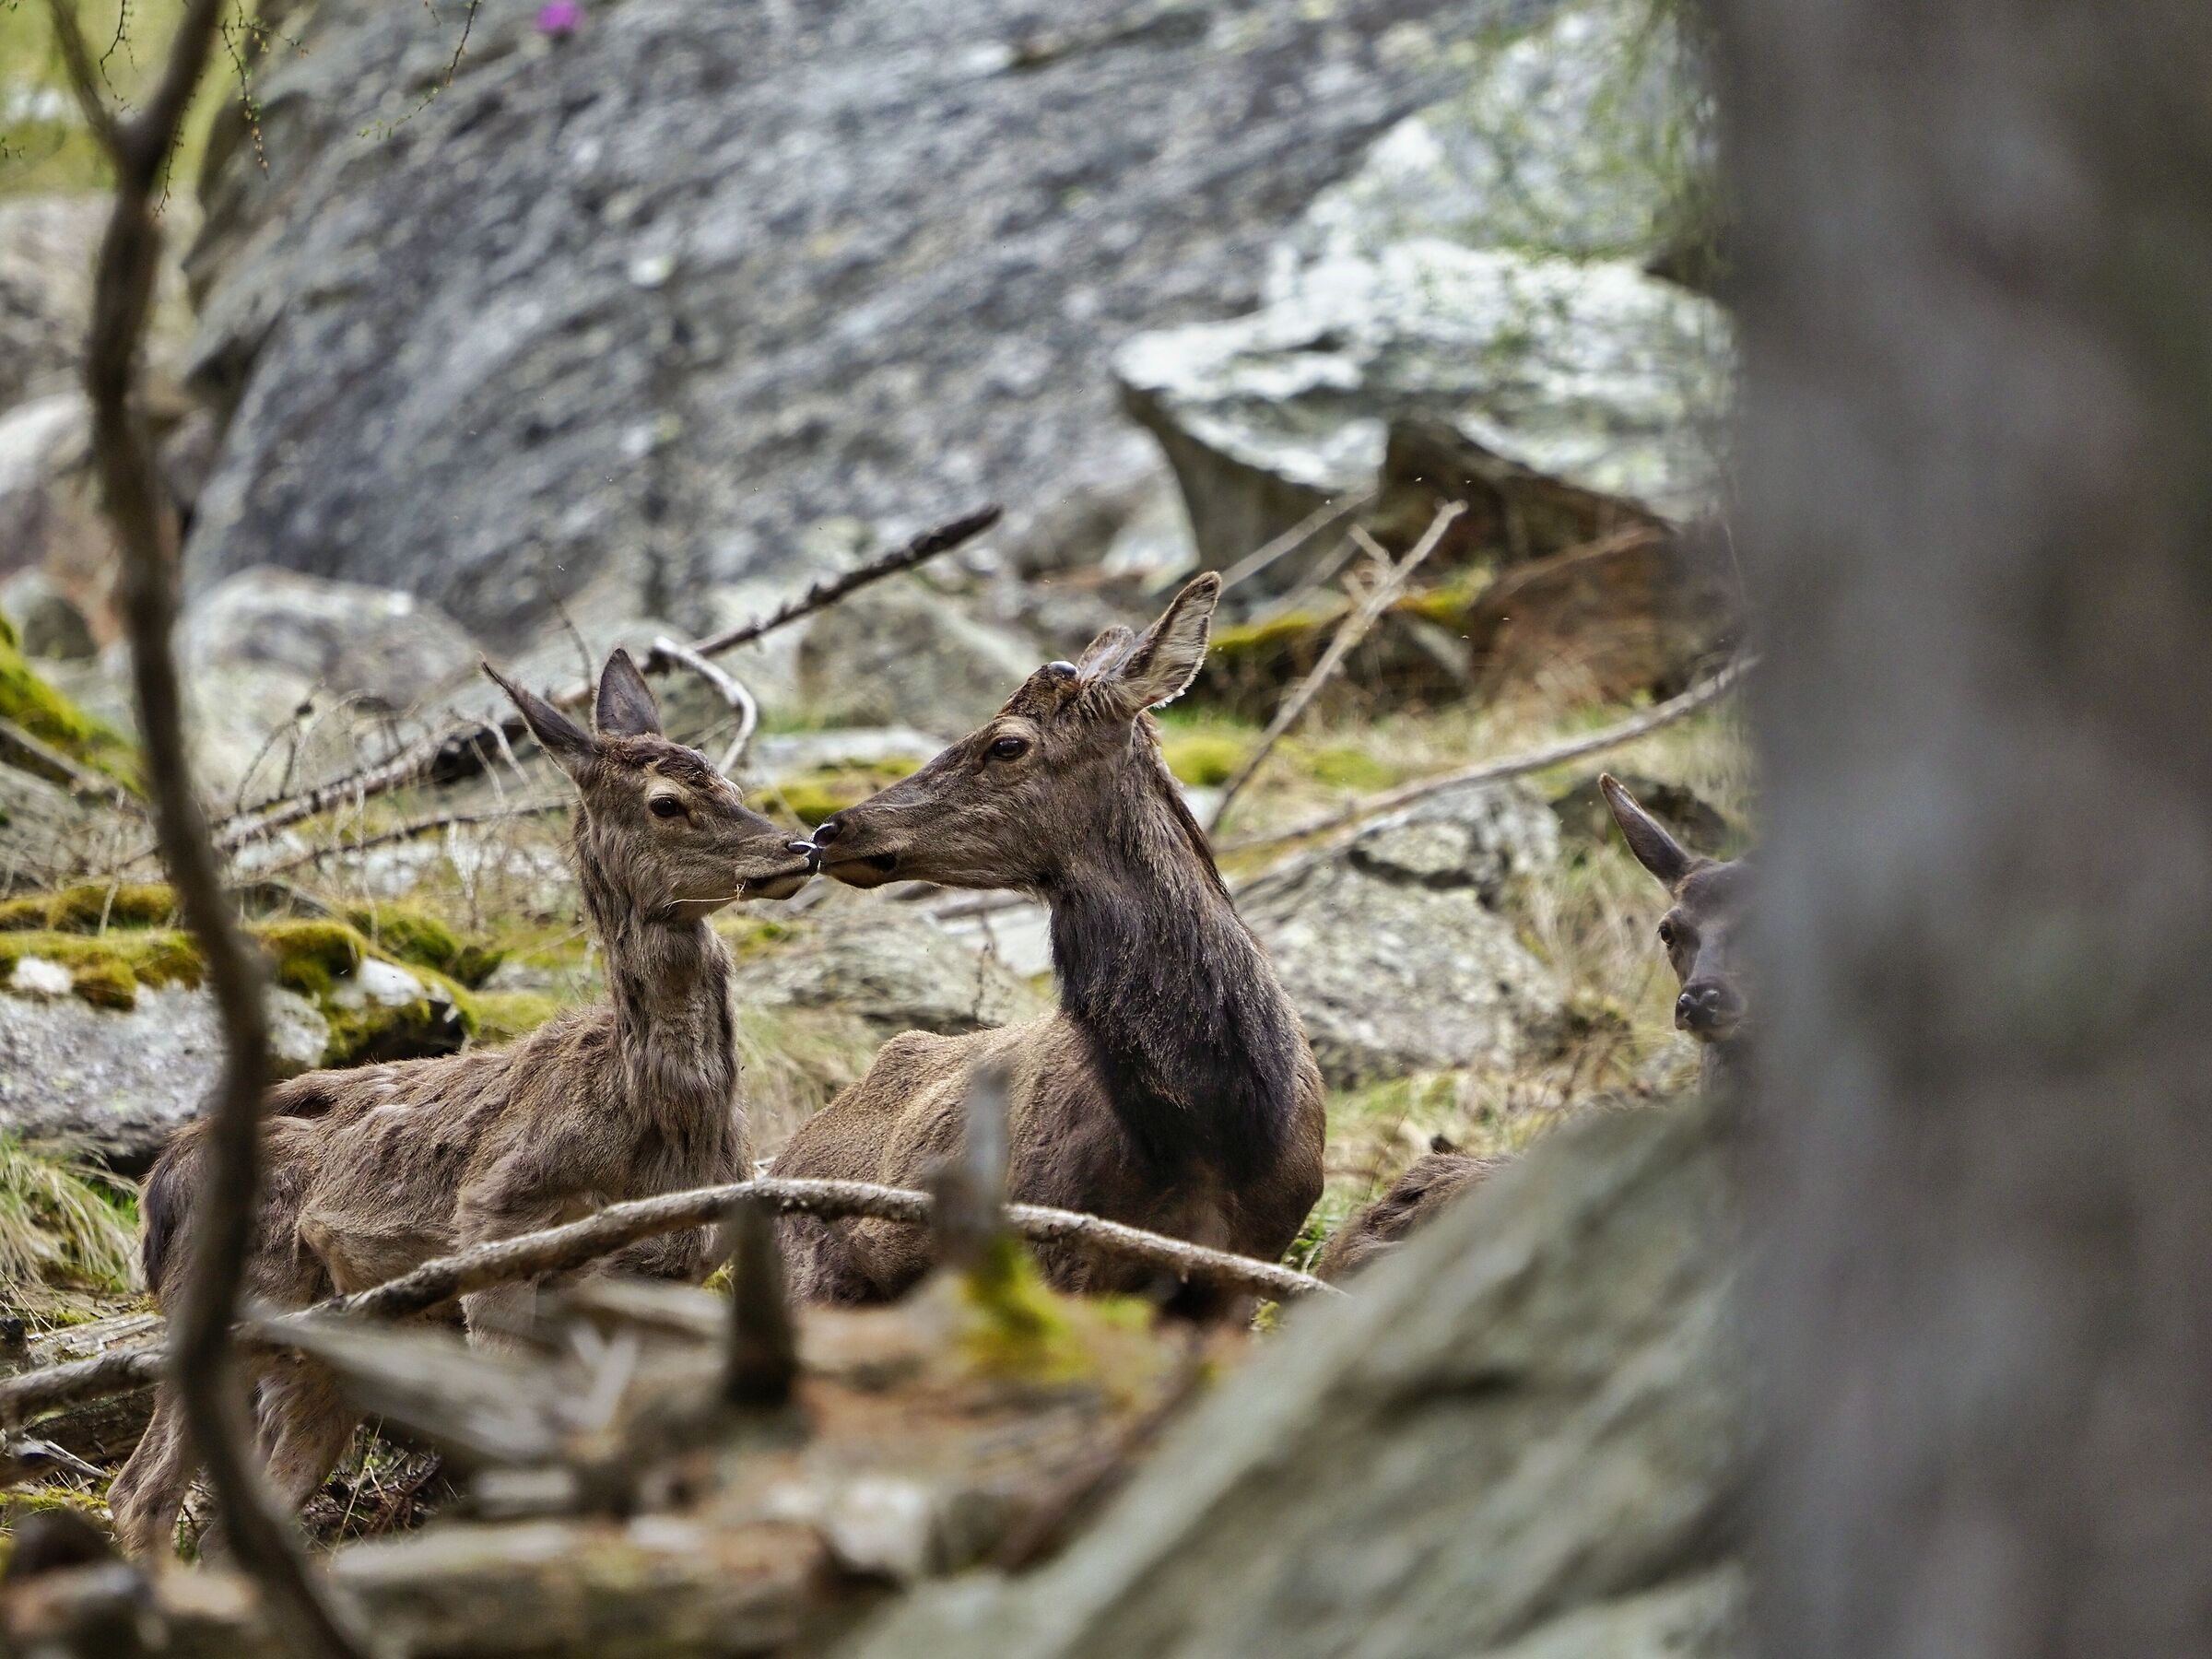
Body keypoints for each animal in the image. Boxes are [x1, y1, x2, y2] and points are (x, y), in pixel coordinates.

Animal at [107, 650, 818, 1559]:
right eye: (667, 801)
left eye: (727, 777)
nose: (798, 848)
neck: (658, 1124)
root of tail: (155, 1192)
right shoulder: (496, 1225)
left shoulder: (674, 1278)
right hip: (230, 1302)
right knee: (140, 1490)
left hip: (319, 1357)